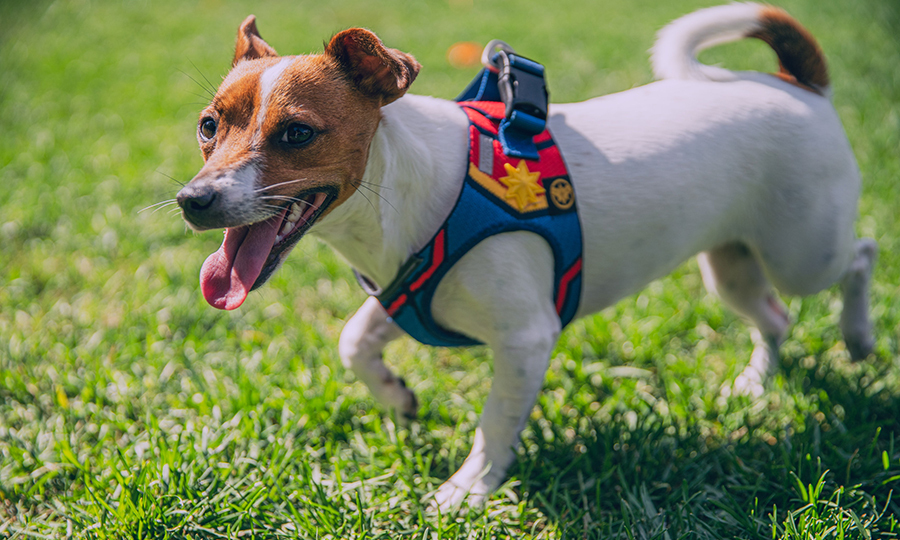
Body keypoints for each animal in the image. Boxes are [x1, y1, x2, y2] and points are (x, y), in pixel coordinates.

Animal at [178, 4, 880, 508]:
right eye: (208, 126)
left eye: (298, 133)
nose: (193, 200)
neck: (406, 191)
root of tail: (798, 84)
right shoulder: (408, 293)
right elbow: (355, 341)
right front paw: (398, 399)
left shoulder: (525, 338)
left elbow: (494, 425)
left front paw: (467, 489)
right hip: (730, 265)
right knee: (775, 316)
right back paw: (758, 382)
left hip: (803, 249)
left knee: (859, 255)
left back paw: (859, 334)